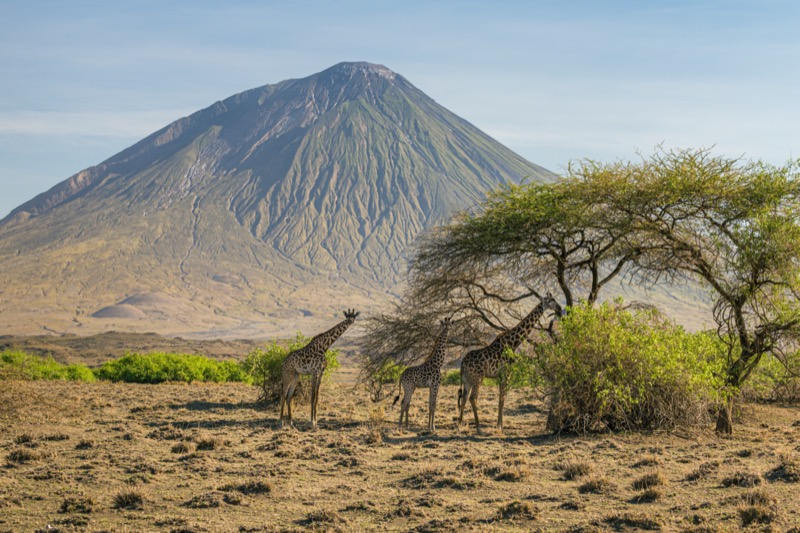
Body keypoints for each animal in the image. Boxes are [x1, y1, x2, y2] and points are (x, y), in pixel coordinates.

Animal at [456, 294, 564, 434]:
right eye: (551, 301)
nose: (559, 308)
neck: (513, 343)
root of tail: (462, 364)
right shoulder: (506, 372)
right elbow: (502, 398)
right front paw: (500, 427)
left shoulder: (501, 374)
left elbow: (500, 398)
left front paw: (499, 426)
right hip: (478, 378)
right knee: (472, 398)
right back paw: (479, 429)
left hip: (467, 380)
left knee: (463, 399)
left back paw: (459, 425)